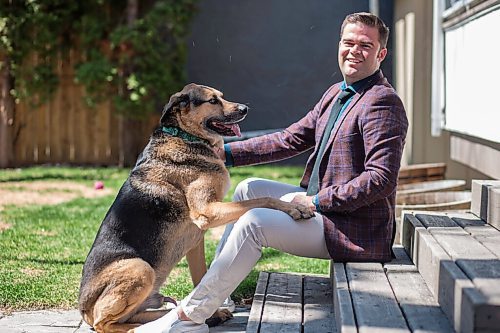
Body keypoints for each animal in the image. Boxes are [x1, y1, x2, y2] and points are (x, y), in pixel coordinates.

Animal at [77, 83, 312, 332]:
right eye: (212, 101)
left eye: (222, 96)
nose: (244, 108)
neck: (186, 136)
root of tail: (83, 309)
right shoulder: (207, 212)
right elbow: (262, 199)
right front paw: (295, 208)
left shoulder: (196, 240)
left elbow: (201, 279)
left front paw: (211, 314)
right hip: (140, 268)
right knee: (105, 324)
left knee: (132, 315)